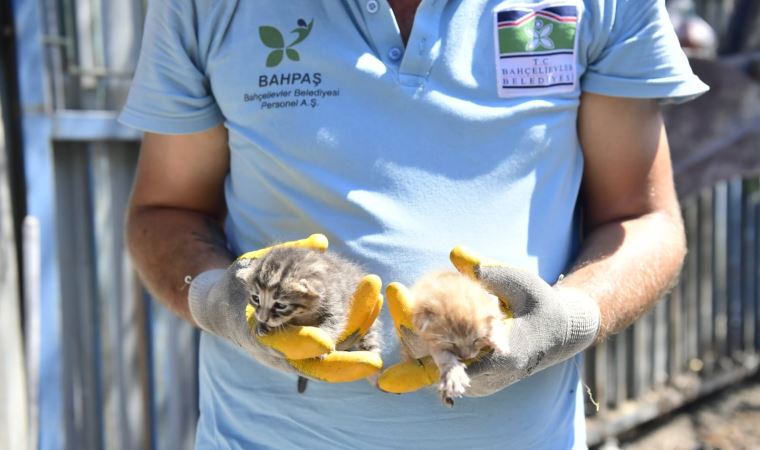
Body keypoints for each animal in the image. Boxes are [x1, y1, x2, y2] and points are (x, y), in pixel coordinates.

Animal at [236, 246, 382, 390]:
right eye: (255, 298)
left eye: (281, 305)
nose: (262, 318)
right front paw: (262, 325)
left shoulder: (334, 298)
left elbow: (334, 321)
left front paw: (324, 341)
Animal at [406, 270, 508, 408]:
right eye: (451, 342)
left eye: (476, 339)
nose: (466, 356)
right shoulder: (431, 342)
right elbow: (443, 356)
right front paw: (453, 375)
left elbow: (495, 319)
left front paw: (499, 338)